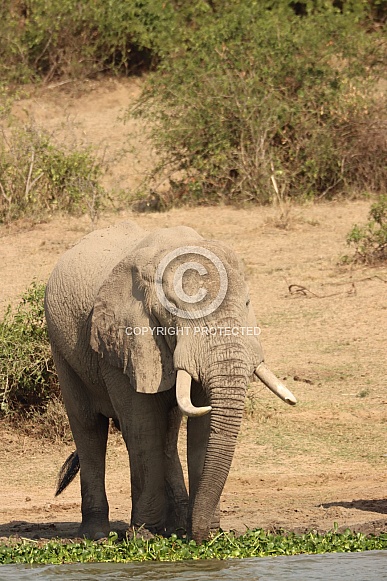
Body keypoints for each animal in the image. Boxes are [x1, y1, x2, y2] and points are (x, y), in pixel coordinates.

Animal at [44, 220, 298, 540]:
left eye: (248, 303)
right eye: (176, 317)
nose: (199, 537)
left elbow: (202, 428)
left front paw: (205, 533)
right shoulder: (124, 341)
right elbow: (143, 428)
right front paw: (144, 535)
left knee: (168, 432)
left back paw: (174, 525)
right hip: (62, 351)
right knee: (89, 428)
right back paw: (96, 534)